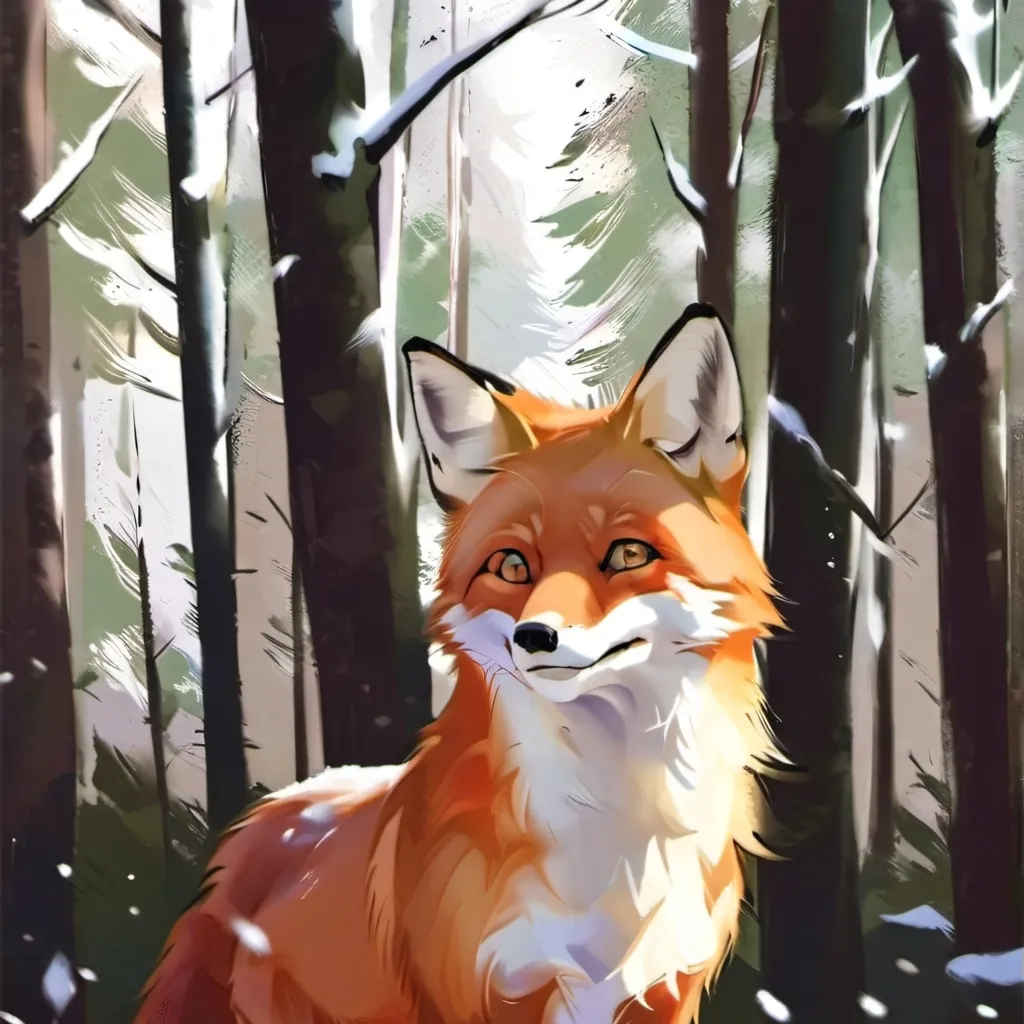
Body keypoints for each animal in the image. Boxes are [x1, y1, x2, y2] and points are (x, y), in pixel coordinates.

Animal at [134, 303, 789, 1024]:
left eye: (627, 555)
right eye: (512, 566)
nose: (536, 636)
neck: (610, 823)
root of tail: (249, 830)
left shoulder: (663, 993)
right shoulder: (479, 995)